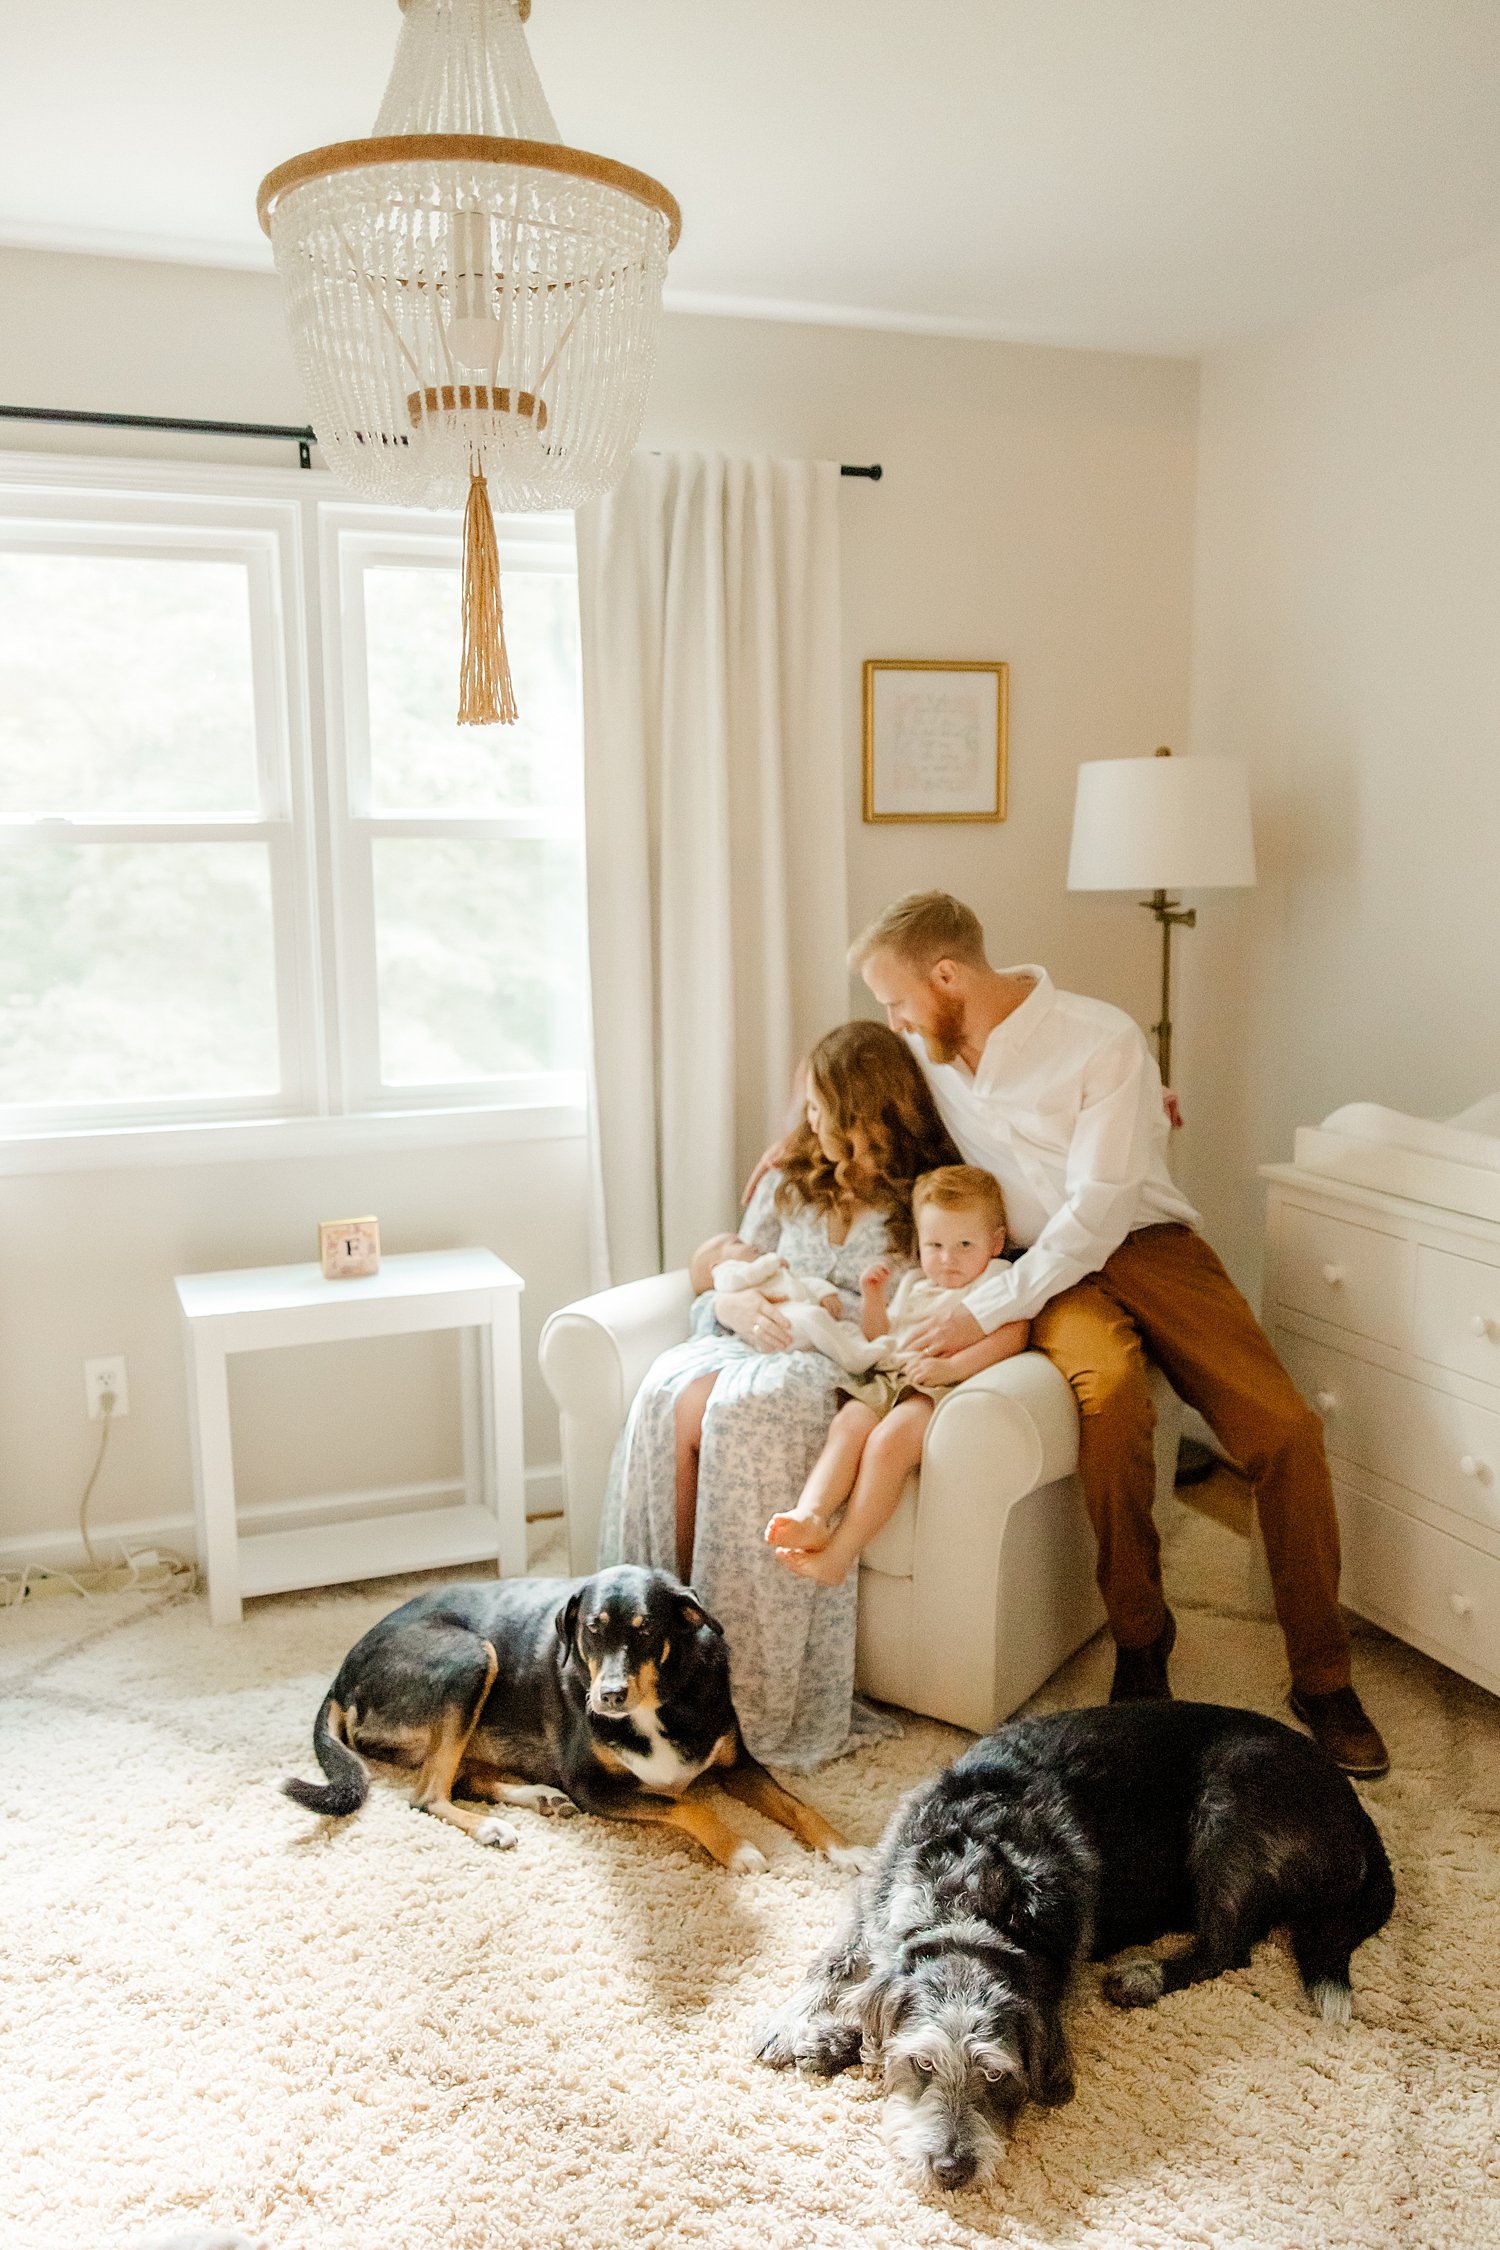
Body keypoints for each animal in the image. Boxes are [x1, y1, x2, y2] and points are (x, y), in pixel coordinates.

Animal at [279, 1557, 854, 1872]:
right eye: (591, 1630)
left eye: (646, 1630)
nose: (610, 1696)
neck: (659, 1702)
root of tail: (342, 1674)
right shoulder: (591, 1786)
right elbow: (687, 1805)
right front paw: (738, 1849)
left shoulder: (737, 1765)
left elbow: (800, 1805)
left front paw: (845, 1850)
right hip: (472, 1656)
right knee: (427, 1795)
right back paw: (493, 1827)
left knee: (460, 1776)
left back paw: (537, 1796)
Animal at [764, 1692, 1394, 2187]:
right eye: (921, 2065)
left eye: (997, 2075)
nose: (952, 2170)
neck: (972, 1897)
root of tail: (1360, 1815)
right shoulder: (873, 1899)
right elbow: (838, 1964)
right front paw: (807, 2029)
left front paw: (833, 2036)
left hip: (1228, 1803)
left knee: (1228, 1947)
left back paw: (1144, 1977)